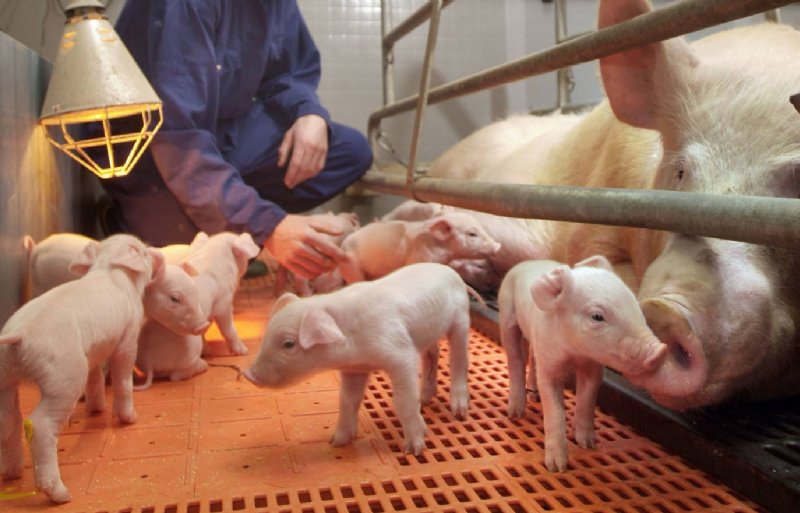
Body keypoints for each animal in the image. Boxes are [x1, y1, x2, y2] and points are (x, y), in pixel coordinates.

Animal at [0, 234, 162, 502]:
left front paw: (97, 409)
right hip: (65, 376)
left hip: (5, 377)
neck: (108, 268)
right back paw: (61, 495)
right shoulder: (128, 339)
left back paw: (12, 473)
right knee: (39, 424)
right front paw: (130, 419)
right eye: (144, 253)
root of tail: (20, 335)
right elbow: (123, 380)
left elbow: (95, 377)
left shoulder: (93, 352)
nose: (157, 254)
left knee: (9, 420)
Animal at [241, 262, 472, 454]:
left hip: (461, 320)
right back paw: (424, 400)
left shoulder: (401, 354)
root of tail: (449, 270)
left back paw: (458, 411)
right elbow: (347, 400)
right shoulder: (354, 368)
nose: (248, 374)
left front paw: (414, 449)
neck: (354, 349)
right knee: (433, 353)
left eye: (288, 343)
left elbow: (403, 401)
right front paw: (336, 442)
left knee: (458, 360)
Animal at [496, 256, 664, 472]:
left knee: (532, 356)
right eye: (597, 316)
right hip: (507, 313)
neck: (574, 353)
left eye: (634, 305)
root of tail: (527, 263)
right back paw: (515, 413)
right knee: (515, 358)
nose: (660, 351)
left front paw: (588, 445)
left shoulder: (592, 366)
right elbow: (555, 410)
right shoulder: (549, 363)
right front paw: (557, 468)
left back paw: (535, 395)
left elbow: (587, 399)